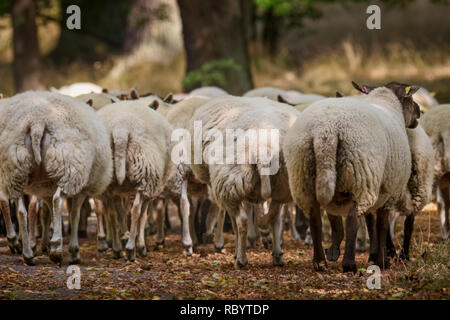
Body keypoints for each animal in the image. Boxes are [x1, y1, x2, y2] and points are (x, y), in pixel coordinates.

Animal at [0, 90, 114, 264]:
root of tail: (37, 122)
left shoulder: (46, 187)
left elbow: (51, 213)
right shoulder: (80, 187)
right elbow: (74, 214)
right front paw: (73, 251)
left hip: (15, 170)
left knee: (21, 211)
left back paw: (27, 253)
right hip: (68, 167)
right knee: (57, 200)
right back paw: (56, 250)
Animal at [97, 100, 174, 262]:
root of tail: (120, 129)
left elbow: (120, 212)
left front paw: (125, 237)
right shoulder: (151, 189)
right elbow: (143, 216)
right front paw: (141, 246)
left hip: (108, 180)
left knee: (111, 212)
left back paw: (117, 249)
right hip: (145, 173)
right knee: (135, 210)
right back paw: (131, 249)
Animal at [188, 95, 300, 268]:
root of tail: (263, 150)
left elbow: (234, 224)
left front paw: (236, 253)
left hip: (230, 182)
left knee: (242, 221)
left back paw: (241, 260)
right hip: (282, 183)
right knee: (275, 219)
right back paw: (277, 255)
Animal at [284, 81, 422, 272]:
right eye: (410, 98)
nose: (419, 111)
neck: (388, 104)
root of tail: (325, 131)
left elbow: (366, 223)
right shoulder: (388, 190)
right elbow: (381, 226)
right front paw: (382, 261)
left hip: (305, 176)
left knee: (315, 219)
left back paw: (320, 261)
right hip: (360, 178)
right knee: (352, 220)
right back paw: (349, 263)